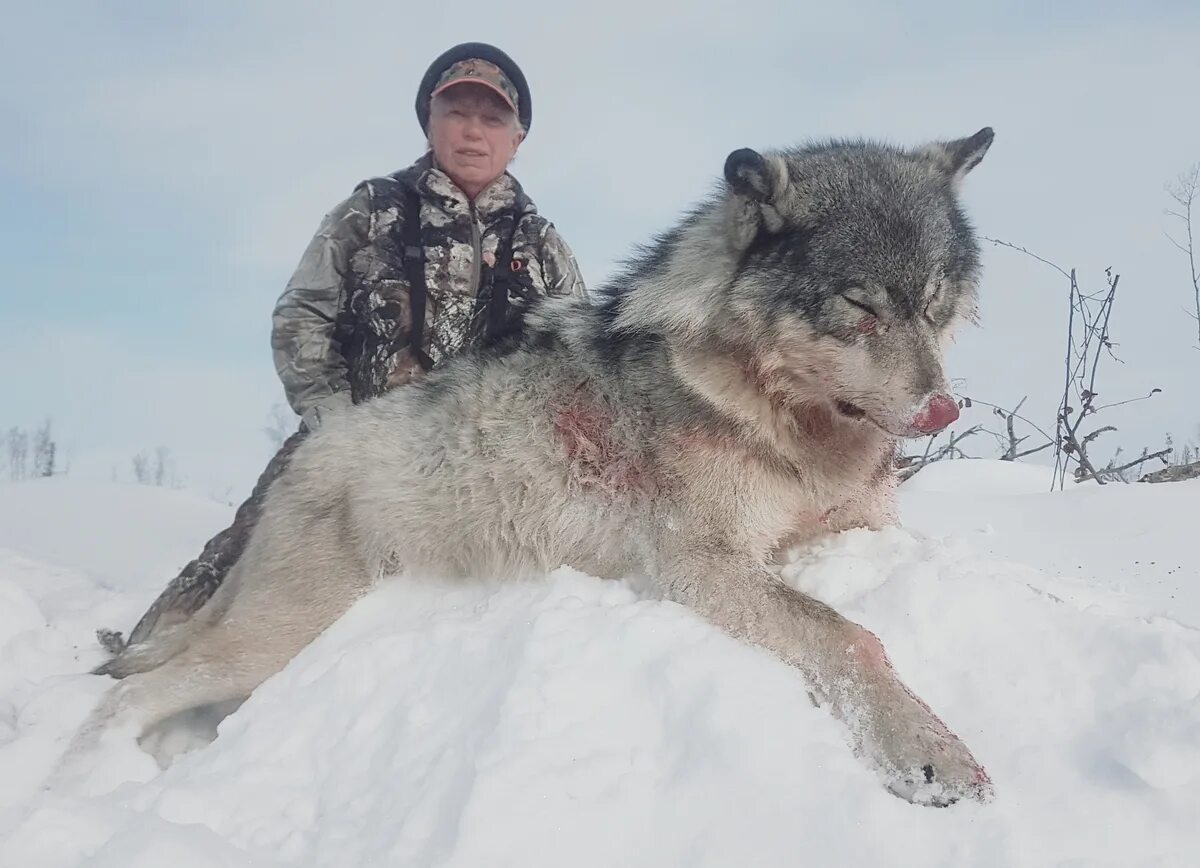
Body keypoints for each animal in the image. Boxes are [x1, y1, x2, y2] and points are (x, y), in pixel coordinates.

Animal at [63, 129, 993, 806]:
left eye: (934, 304)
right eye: (859, 306)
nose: (943, 410)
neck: (785, 423)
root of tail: (303, 459)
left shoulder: (863, 525)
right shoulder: (700, 567)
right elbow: (851, 634)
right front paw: (932, 754)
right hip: (275, 639)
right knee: (122, 697)